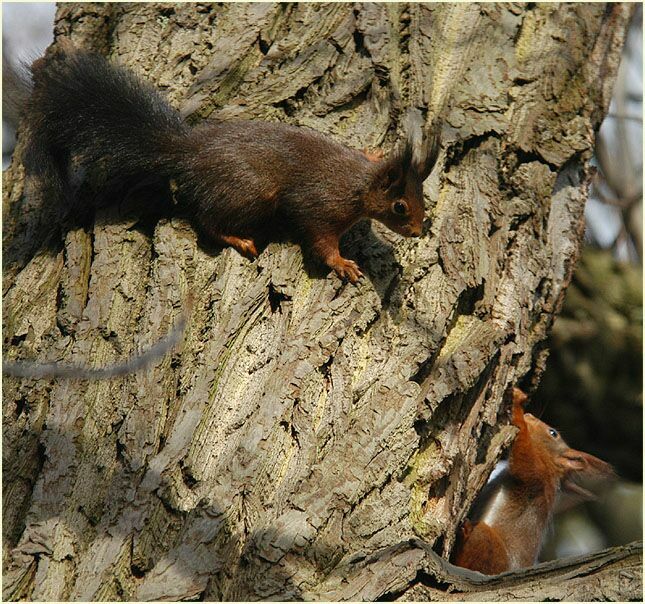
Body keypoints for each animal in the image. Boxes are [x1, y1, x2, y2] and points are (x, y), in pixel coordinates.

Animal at [21, 42, 440, 284]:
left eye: (421, 200)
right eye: (400, 206)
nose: (418, 231)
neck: (358, 183)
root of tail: (189, 154)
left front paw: (375, 151)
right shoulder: (320, 206)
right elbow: (320, 240)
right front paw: (342, 264)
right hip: (249, 192)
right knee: (207, 221)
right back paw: (238, 239)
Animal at [451, 387, 614, 575]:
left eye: (553, 433)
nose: (529, 414)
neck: (549, 465)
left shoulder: (536, 477)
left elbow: (523, 455)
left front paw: (517, 407)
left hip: (489, 546)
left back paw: (464, 537)